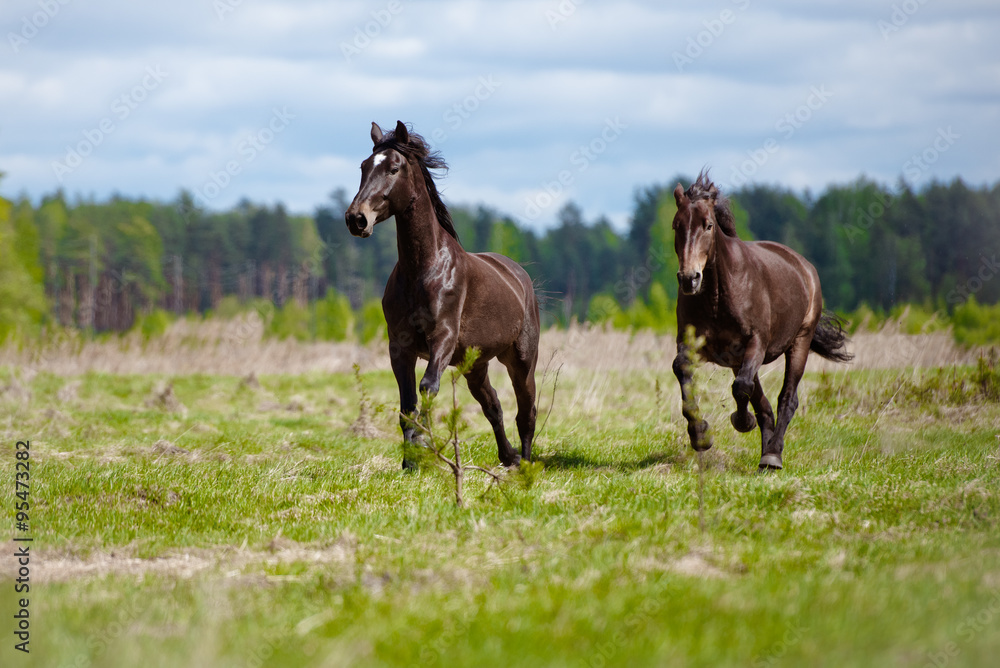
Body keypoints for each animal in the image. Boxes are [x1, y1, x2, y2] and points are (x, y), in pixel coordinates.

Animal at [345, 121, 540, 470]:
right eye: (364, 166)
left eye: (394, 168)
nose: (357, 219)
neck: (424, 269)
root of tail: (519, 276)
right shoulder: (400, 347)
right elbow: (407, 405)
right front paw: (409, 462)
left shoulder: (443, 339)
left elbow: (428, 388)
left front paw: (423, 450)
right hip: (475, 365)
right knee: (494, 406)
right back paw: (510, 457)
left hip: (521, 360)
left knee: (526, 410)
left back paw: (525, 465)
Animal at [671, 172, 853, 470]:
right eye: (676, 225)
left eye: (708, 225)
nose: (689, 279)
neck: (717, 296)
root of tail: (805, 267)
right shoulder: (695, 346)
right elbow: (682, 373)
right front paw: (700, 436)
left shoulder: (756, 343)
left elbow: (743, 387)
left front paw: (742, 422)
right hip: (738, 359)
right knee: (764, 403)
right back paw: (765, 452)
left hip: (799, 341)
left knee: (786, 399)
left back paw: (772, 455)